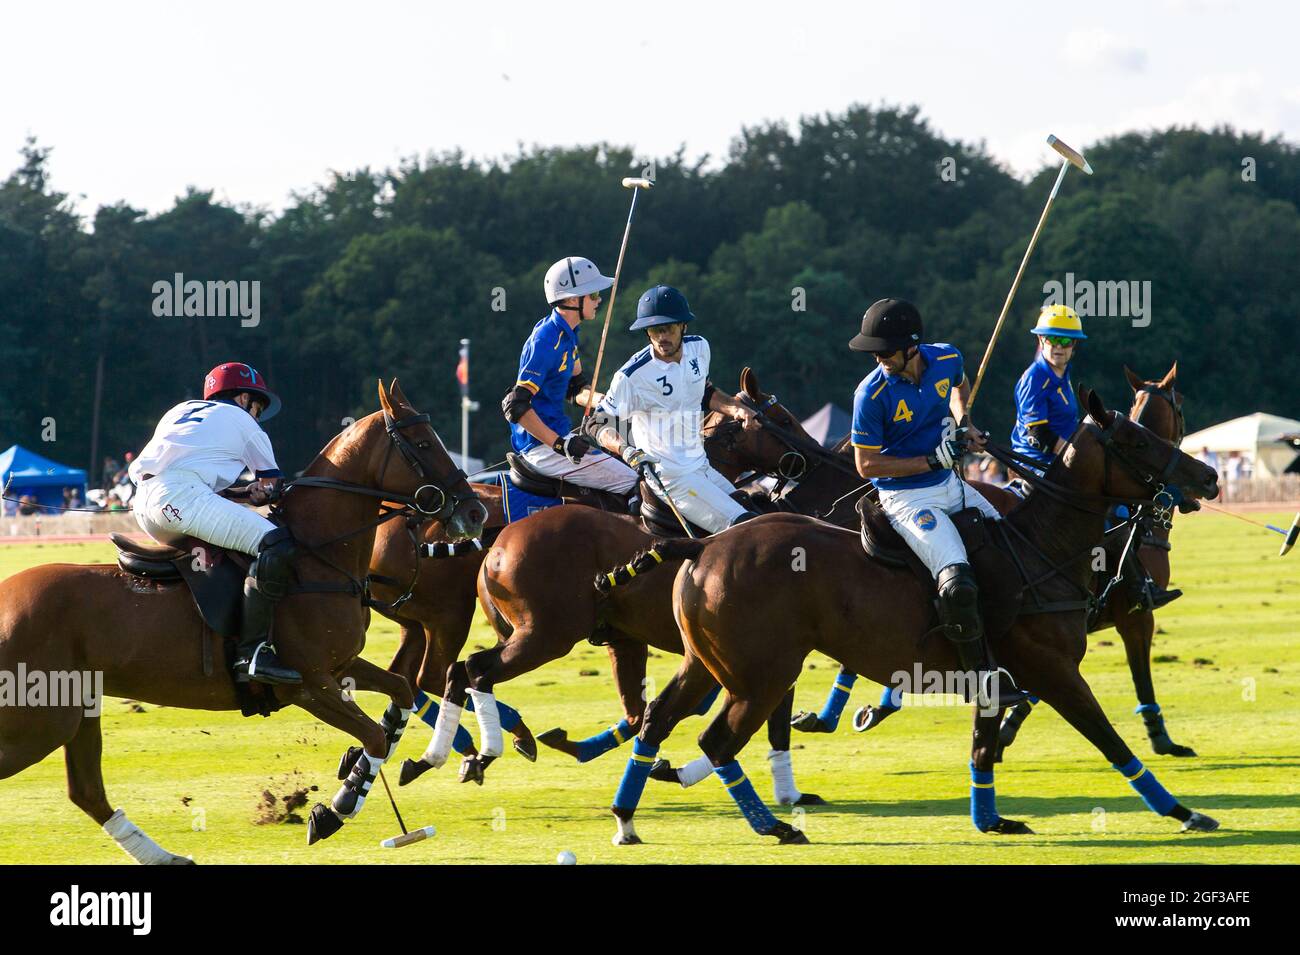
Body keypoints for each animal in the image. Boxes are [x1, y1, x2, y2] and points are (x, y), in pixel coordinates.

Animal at [0, 382, 486, 867]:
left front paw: (353, 770)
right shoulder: (308, 684)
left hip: (76, 710)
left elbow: (399, 693)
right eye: (423, 443)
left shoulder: (340, 665)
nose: (476, 513)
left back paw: (168, 857)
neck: (317, 556)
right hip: (41, 721)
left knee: (87, 792)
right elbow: (374, 736)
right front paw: (337, 808)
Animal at [608, 389, 1216, 841]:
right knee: (717, 740)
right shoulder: (1053, 670)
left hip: (707, 663)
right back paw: (773, 826)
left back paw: (628, 818)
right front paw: (1183, 811)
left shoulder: (997, 674)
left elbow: (983, 743)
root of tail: (702, 545)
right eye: (1135, 439)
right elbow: (1109, 740)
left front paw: (990, 819)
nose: (1208, 476)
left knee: (658, 718)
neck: (1041, 546)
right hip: (763, 673)